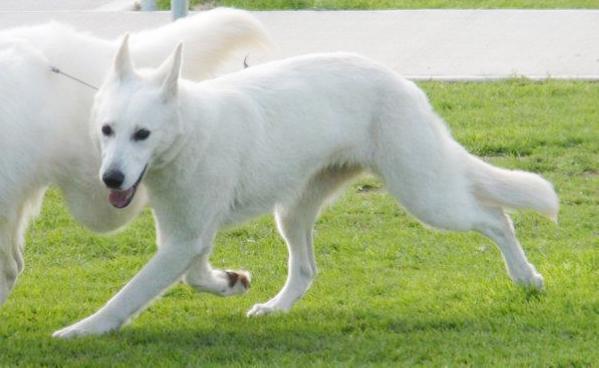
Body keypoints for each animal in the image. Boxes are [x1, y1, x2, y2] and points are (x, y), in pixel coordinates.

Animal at [54, 36, 560, 336]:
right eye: (107, 130)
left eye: (142, 134)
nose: (111, 178)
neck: (190, 131)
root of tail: (403, 83)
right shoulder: (185, 237)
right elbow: (197, 276)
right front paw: (231, 282)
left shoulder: (184, 240)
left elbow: (129, 294)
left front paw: (85, 330)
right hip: (293, 211)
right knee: (305, 270)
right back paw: (276, 308)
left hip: (426, 196)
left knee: (496, 217)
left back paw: (526, 277)